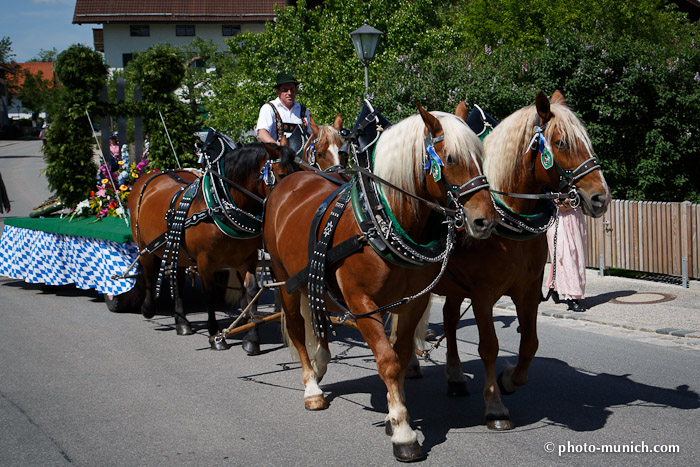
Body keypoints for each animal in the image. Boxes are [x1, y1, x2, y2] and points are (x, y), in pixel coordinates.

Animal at [129, 133, 298, 352]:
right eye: (282, 175)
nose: (291, 202)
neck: (221, 206)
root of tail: (149, 176)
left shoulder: (247, 259)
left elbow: (252, 292)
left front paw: (251, 338)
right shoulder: (205, 261)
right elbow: (209, 294)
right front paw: (215, 335)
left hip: (178, 251)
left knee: (177, 278)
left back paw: (181, 322)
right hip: (144, 246)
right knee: (149, 274)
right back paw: (149, 308)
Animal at [262, 103, 498, 460]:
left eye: (481, 155)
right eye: (451, 158)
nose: (485, 220)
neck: (383, 221)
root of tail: (291, 180)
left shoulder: (414, 300)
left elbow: (400, 357)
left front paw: (394, 413)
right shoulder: (361, 303)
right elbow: (386, 361)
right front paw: (403, 433)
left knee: (318, 319)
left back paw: (321, 364)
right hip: (284, 278)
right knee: (297, 328)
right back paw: (311, 387)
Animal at [430, 90, 608, 432]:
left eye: (588, 141)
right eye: (562, 142)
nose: (600, 198)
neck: (507, 220)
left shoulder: (527, 291)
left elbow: (530, 344)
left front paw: (509, 380)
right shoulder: (483, 294)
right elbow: (489, 346)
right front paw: (495, 407)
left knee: (448, 319)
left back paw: (454, 376)